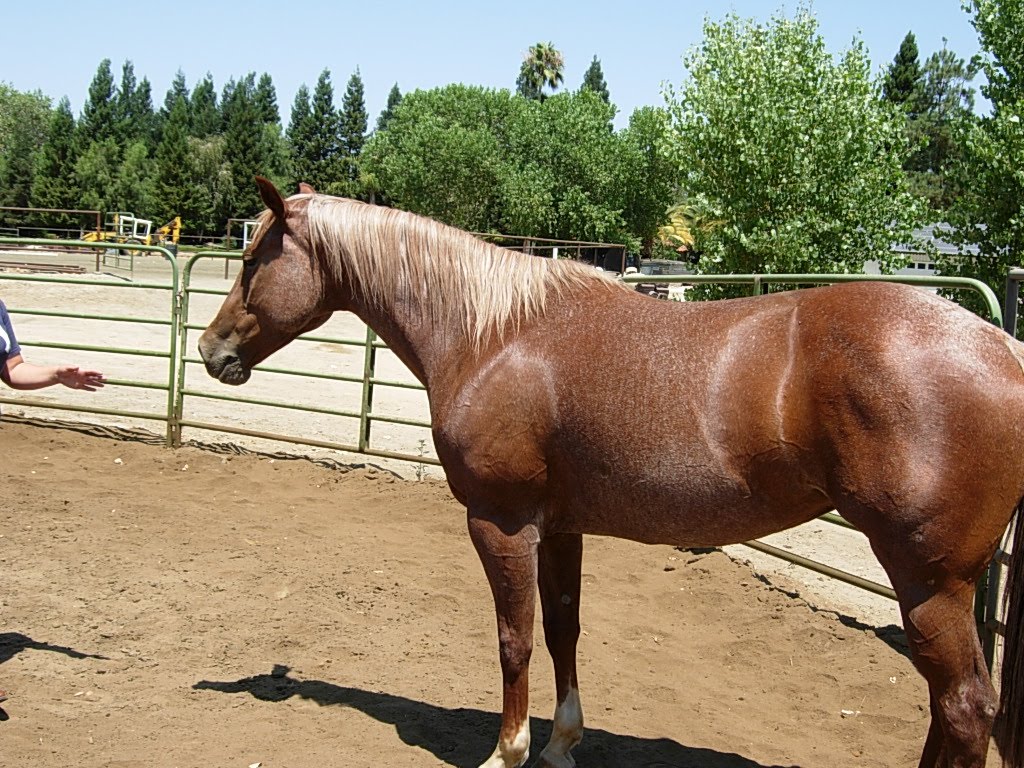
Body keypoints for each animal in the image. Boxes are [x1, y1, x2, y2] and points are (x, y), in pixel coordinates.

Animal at [199, 177, 1024, 768]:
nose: (210, 350)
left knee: (964, 709)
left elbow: (514, 638)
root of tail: (1004, 351)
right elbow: (564, 630)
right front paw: (562, 743)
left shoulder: (500, 523)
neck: (494, 334)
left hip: (930, 582)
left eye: (252, 260)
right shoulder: (561, 527)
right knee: (948, 711)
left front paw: (507, 753)